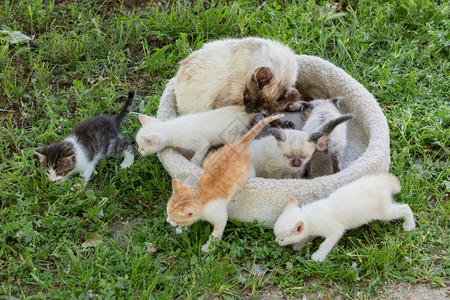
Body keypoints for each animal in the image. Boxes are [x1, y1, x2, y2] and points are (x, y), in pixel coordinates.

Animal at [165, 113, 284, 252]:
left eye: (174, 219)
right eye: (168, 214)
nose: (167, 221)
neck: (202, 196)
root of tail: (238, 143)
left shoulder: (220, 216)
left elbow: (217, 231)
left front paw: (208, 247)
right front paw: (182, 229)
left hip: (250, 171)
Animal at [272, 172, 416, 262]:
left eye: (282, 239)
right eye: (276, 236)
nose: (276, 242)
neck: (309, 215)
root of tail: (382, 181)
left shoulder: (335, 230)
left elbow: (326, 243)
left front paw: (318, 256)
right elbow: (308, 236)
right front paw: (299, 244)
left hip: (383, 211)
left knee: (405, 207)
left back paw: (409, 224)